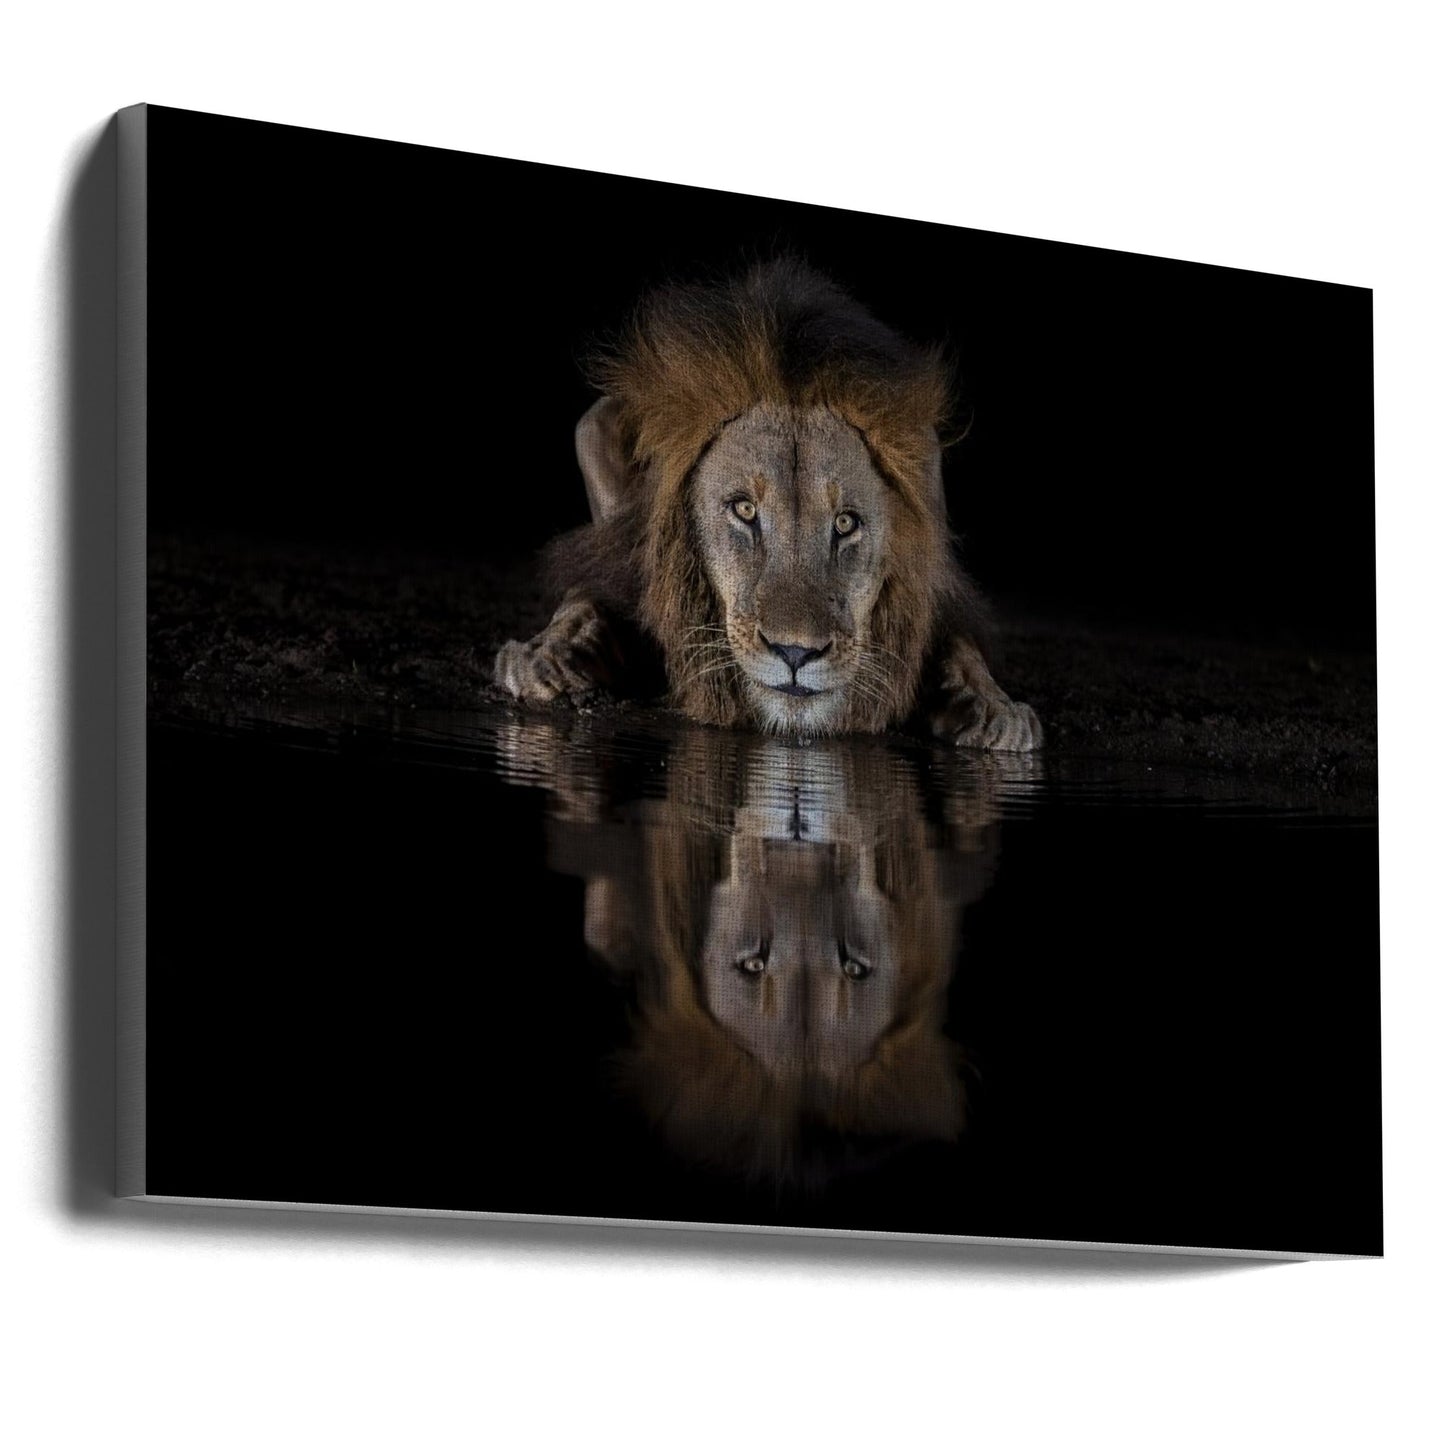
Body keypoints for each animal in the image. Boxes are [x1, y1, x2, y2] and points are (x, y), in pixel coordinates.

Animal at [495, 257, 1041, 750]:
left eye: (846, 523)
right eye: (744, 511)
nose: (795, 653)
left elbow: (959, 644)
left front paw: (994, 710)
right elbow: (593, 592)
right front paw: (549, 656)